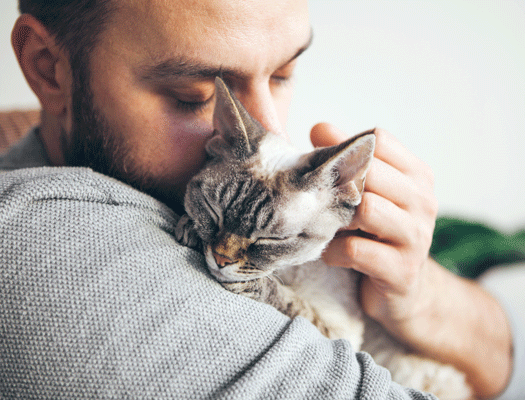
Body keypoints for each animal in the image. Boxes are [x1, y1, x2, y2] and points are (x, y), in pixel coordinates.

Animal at [175, 77, 470, 400]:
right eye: (212, 211)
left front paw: (253, 283)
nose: (220, 259)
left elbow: (292, 303)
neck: (290, 270)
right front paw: (190, 228)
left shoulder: (340, 332)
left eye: (272, 239)